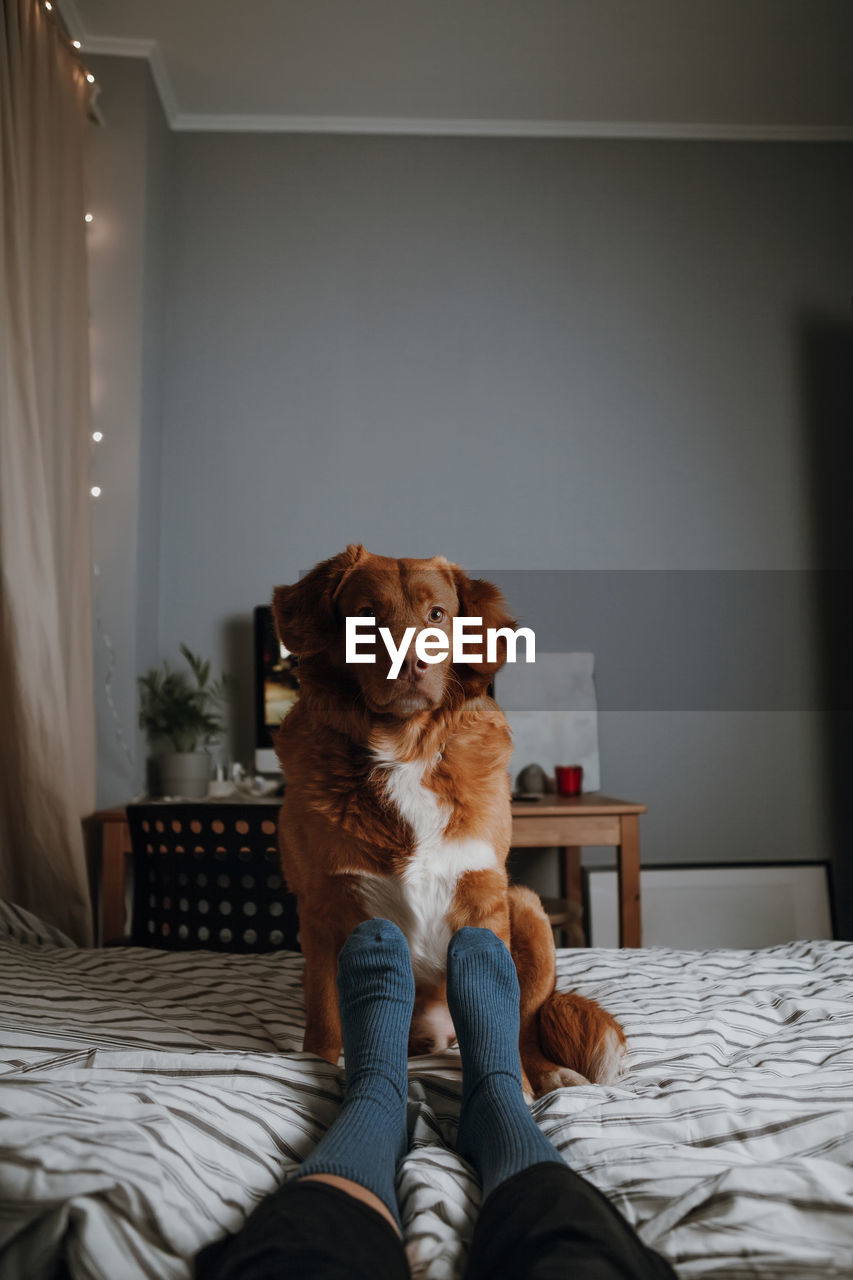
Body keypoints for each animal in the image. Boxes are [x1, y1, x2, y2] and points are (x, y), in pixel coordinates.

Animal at [272, 545, 625, 1095]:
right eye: (365, 616)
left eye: (436, 614)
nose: (412, 662)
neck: (405, 748)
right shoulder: (321, 906)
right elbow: (325, 1015)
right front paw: (321, 1066)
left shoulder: (484, 897)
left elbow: (504, 1021)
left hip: (526, 907)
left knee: (524, 1027)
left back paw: (548, 1073)